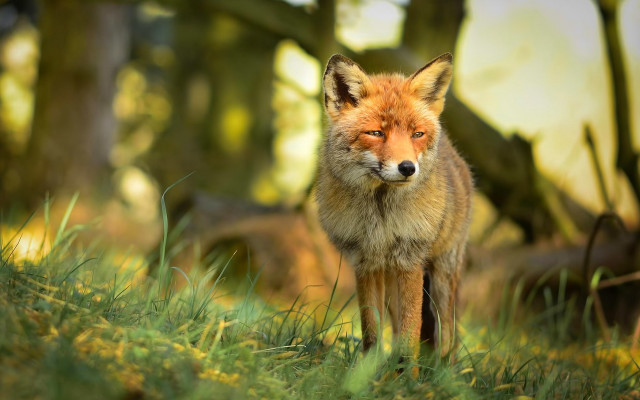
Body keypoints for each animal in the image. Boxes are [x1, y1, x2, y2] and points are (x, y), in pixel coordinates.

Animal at [316, 53, 472, 365]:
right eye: (376, 132)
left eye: (417, 134)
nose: (408, 168)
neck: (381, 217)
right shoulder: (365, 263)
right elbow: (372, 333)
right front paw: (367, 371)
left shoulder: (410, 260)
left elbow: (412, 336)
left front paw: (409, 374)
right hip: (390, 284)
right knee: (399, 329)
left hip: (442, 278)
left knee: (447, 337)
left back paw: (441, 373)